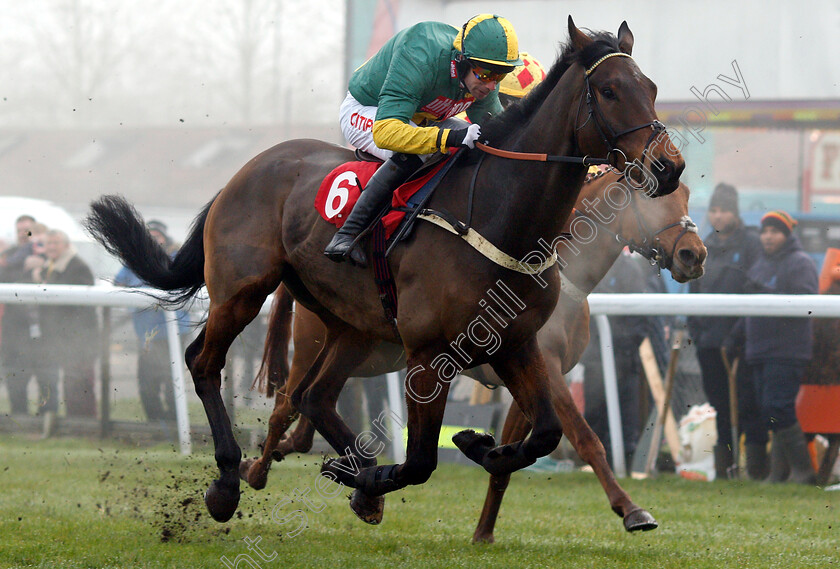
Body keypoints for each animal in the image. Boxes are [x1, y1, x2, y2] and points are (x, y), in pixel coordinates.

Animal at [241, 171, 704, 536]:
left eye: (687, 194)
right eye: (655, 195)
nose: (693, 255)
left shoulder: (523, 369)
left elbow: (512, 458)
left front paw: (483, 529)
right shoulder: (550, 371)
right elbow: (588, 440)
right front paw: (632, 510)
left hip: (369, 356)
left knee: (309, 408)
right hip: (316, 344)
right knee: (286, 405)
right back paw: (257, 470)